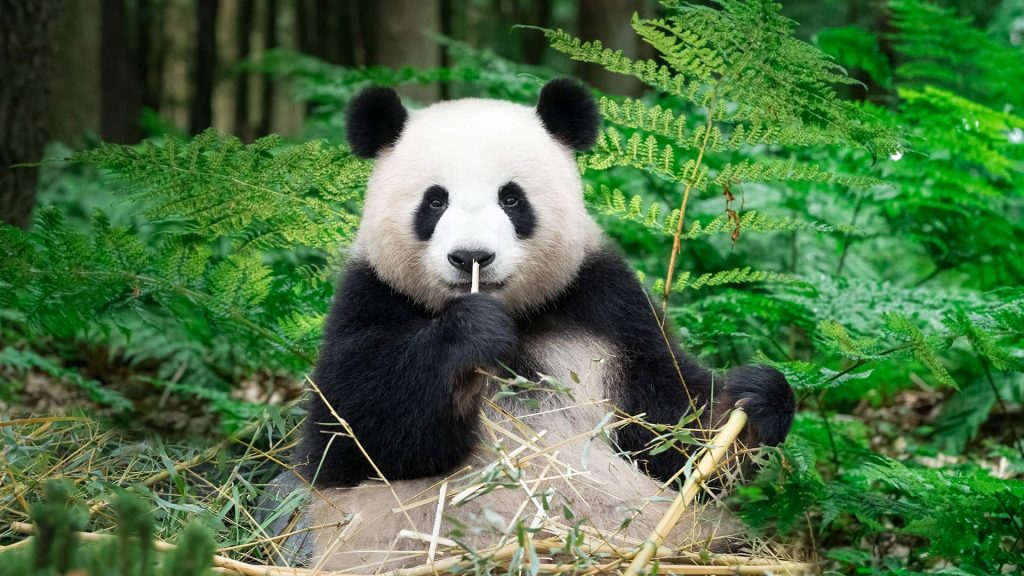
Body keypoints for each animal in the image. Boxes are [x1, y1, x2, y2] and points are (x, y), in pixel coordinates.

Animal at [291, 78, 796, 571]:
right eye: (434, 201)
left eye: (511, 198)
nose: (471, 257)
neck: (516, 315)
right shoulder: (369, 297)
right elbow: (354, 435)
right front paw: (470, 335)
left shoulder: (605, 306)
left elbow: (669, 428)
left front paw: (754, 401)